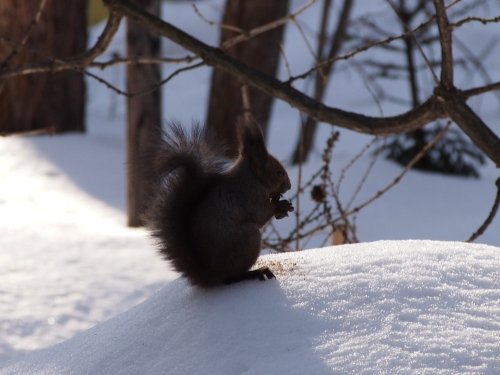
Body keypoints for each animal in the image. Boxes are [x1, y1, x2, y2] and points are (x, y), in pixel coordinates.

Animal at [144, 120, 292, 288]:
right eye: (278, 172)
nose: (289, 186)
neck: (252, 177)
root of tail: (210, 275)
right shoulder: (250, 196)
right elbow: (261, 214)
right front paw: (282, 206)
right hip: (248, 240)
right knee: (232, 277)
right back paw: (256, 272)